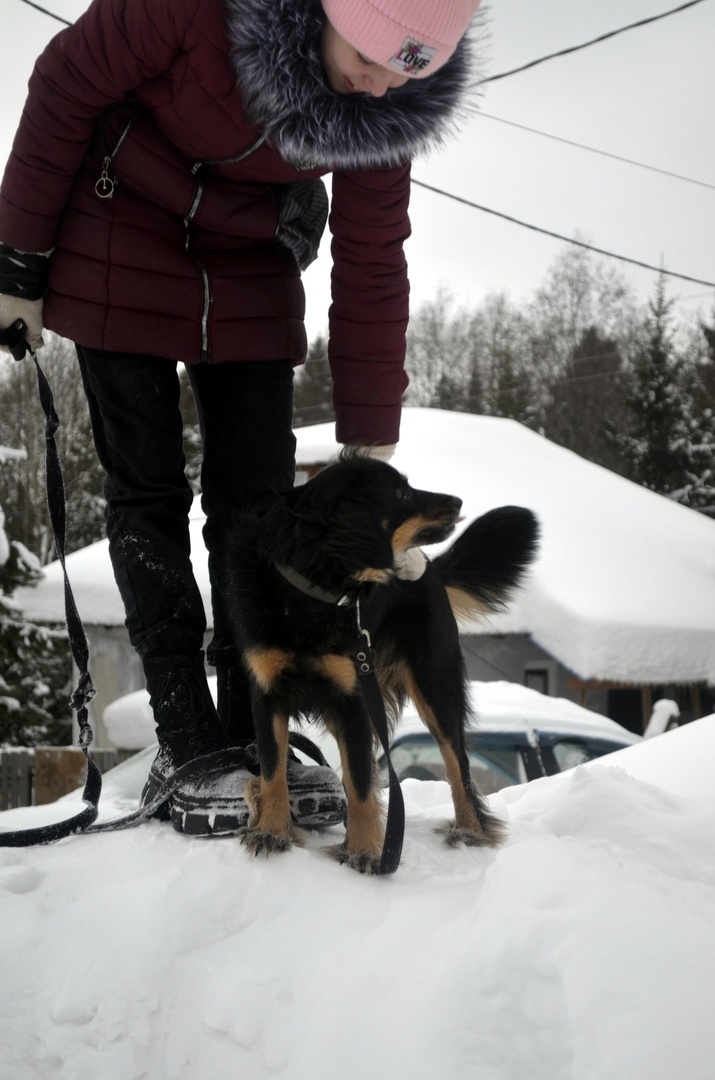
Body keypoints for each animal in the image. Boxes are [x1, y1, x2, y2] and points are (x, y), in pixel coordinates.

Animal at [226, 451, 540, 872]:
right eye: (401, 493)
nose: (457, 501)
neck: (309, 595)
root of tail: (431, 570)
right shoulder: (267, 693)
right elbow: (274, 768)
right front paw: (272, 832)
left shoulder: (354, 697)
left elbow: (359, 780)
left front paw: (364, 851)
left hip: (433, 685)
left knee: (457, 765)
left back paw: (470, 832)